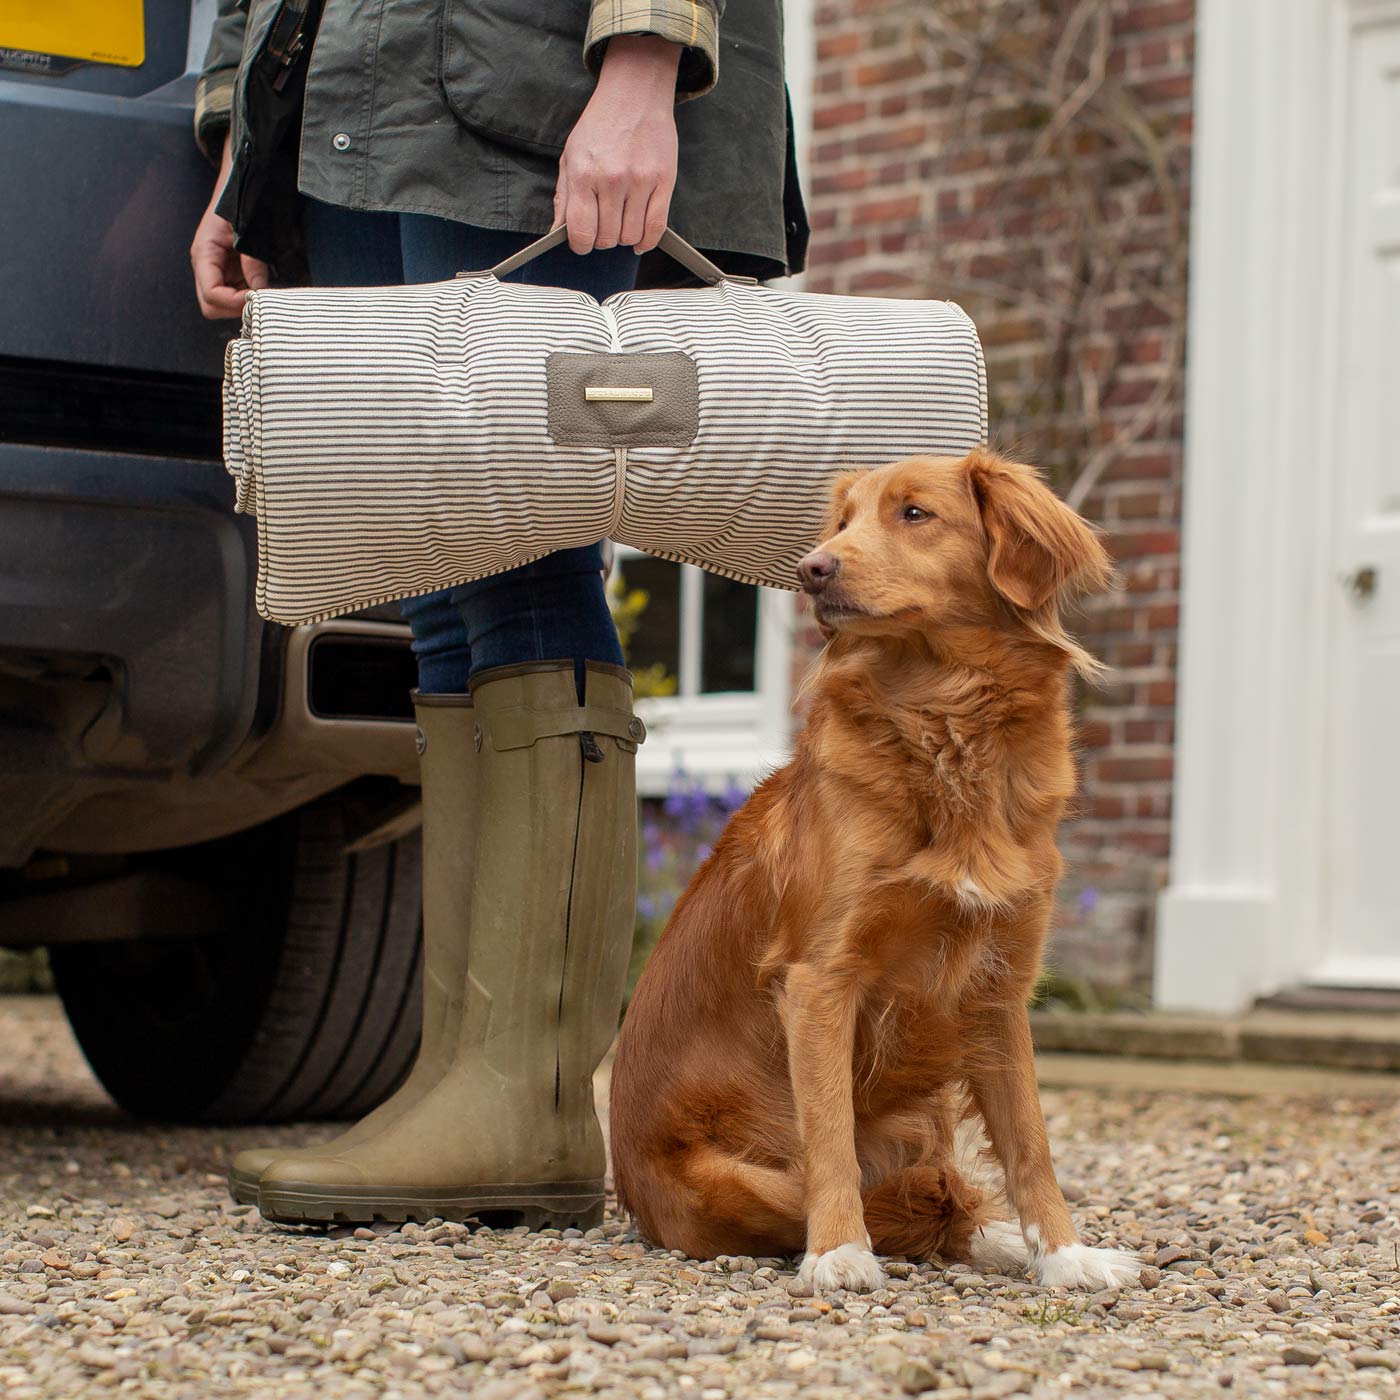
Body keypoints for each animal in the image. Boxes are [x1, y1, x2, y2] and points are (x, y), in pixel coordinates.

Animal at [607, 448, 1142, 1288]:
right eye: (841, 522)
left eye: (914, 513)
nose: (811, 569)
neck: (944, 718)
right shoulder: (821, 979)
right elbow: (830, 1137)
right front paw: (838, 1254)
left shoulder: (998, 987)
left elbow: (1031, 1142)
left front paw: (1064, 1256)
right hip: (730, 1179)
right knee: (871, 1197)